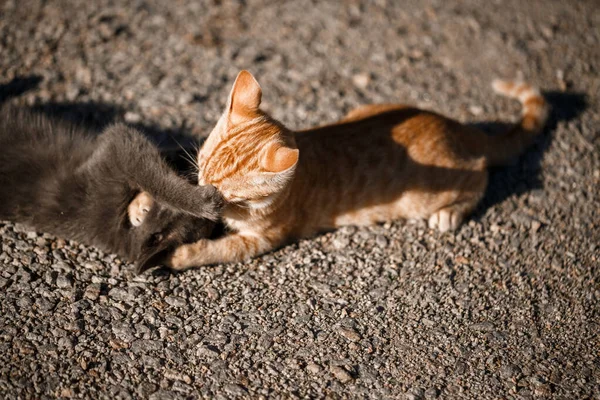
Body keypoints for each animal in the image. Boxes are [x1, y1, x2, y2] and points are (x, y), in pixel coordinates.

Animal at [166, 70, 548, 270]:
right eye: (201, 166)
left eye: (227, 193)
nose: (202, 194)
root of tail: (454, 126)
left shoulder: (262, 239)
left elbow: (220, 249)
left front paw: (180, 254)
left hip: (430, 193)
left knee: (480, 172)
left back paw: (450, 213)